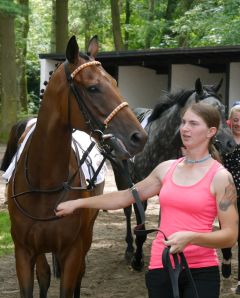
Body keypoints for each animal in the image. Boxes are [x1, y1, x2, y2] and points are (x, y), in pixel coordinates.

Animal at [2, 36, 146, 296]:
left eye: (114, 82)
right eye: (93, 88)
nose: (139, 136)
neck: (43, 183)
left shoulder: (72, 251)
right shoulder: (24, 253)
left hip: (86, 233)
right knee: (45, 274)